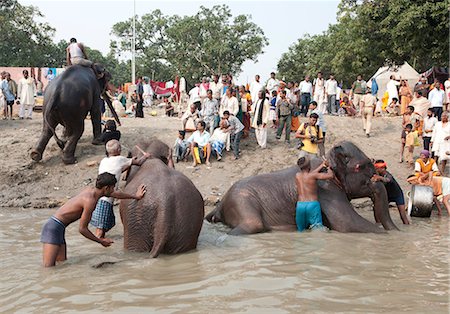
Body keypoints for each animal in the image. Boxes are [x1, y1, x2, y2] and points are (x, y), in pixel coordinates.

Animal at [206, 141, 400, 234]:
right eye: (361, 166)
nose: (380, 178)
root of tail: (219, 205)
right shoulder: (327, 190)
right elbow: (347, 223)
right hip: (241, 200)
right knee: (253, 224)